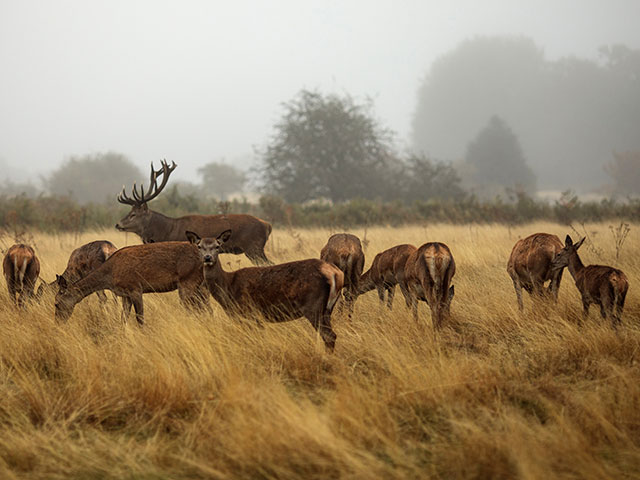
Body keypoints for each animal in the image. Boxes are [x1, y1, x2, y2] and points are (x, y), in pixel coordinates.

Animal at [54, 242, 208, 324]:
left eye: (56, 303)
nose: (57, 322)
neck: (110, 276)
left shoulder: (135, 288)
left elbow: (140, 319)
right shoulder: (125, 295)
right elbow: (123, 319)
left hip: (187, 281)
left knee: (194, 309)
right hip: (199, 286)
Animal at [186, 231, 344, 350]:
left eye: (217, 246)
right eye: (199, 246)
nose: (207, 258)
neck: (228, 287)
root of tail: (335, 273)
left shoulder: (250, 312)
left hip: (313, 305)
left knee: (328, 335)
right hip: (327, 309)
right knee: (332, 335)